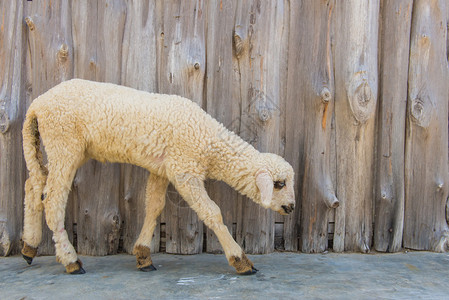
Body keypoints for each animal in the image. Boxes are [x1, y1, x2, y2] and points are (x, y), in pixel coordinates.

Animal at [21, 78, 296, 276]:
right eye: (279, 184)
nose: (291, 207)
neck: (208, 141)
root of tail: (36, 105)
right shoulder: (184, 170)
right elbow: (212, 212)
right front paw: (241, 261)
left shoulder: (161, 168)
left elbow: (153, 207)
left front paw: (143, 256)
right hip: (63, 141)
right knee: (52, 200)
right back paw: (71, 261)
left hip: (58, 147)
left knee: (33, 186)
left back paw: (29, 247)